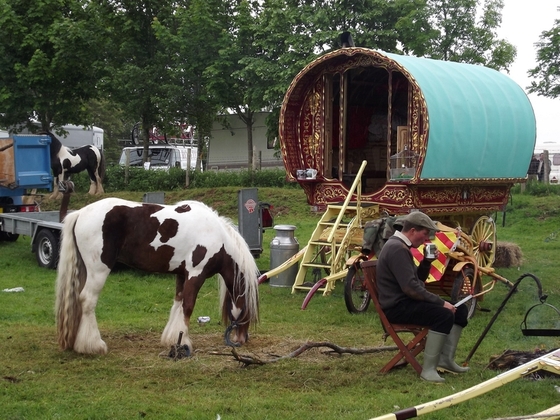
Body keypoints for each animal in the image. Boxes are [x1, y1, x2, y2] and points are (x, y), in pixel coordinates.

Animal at [54, 198, 260, 354]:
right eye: (248, 307)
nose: (243, 339)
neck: (216, 236)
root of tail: (80, 213)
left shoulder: (182, 274)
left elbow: (178, 303)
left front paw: (173, 339)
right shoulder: (195, 275)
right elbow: (188, 306)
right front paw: (184, 342)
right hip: (98, 270)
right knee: (87, 300)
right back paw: (93, 346)